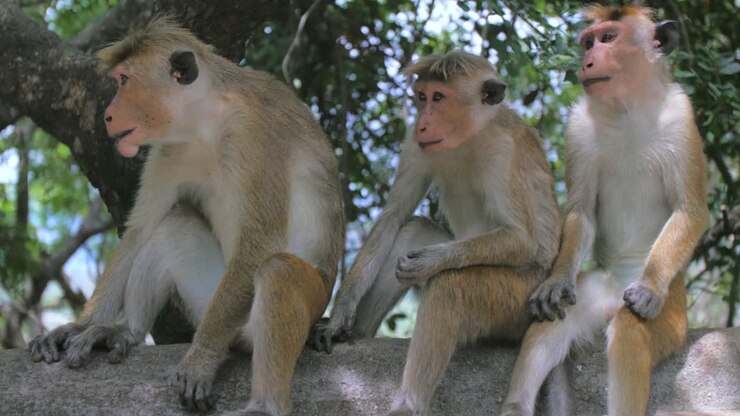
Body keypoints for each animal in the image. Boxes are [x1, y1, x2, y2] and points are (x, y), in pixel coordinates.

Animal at [27, 17, 344, 416]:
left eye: (124, 80)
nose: (108, 115)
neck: (207, 122)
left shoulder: (256, 135)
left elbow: (260, 243)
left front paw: (202, 359)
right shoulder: (168, 150)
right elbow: (140, 229)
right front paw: (78, 325)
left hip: (281, 308)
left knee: (278, 271)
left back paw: (264, 403)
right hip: (209, 303)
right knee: (173, 223)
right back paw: (124, 330)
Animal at [310, 50, 561, 415]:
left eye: (439, 98)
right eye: (422, 96)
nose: (421, 123)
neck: (471, 136)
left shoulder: (502, 153)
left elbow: (521, 239)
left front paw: (431, 261)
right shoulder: (416, 146)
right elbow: (393, 216)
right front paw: (338, 317)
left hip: (518, 301)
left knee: (450, 286)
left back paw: (408, 405)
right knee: (410, 232)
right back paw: (357, 333)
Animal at [501, 6, 708, 416]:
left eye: (609, 38)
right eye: (588, 42)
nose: (587, 61)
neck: (628, 109)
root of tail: (614, 296)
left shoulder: (682, 116)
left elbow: (690, 210)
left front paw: (648, 286)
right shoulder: (578, 125)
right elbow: (581, 212)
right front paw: (555, 281)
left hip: (672, 311)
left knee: (630, 328)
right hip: (597, 290)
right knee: (557, 323)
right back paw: (516, 404)